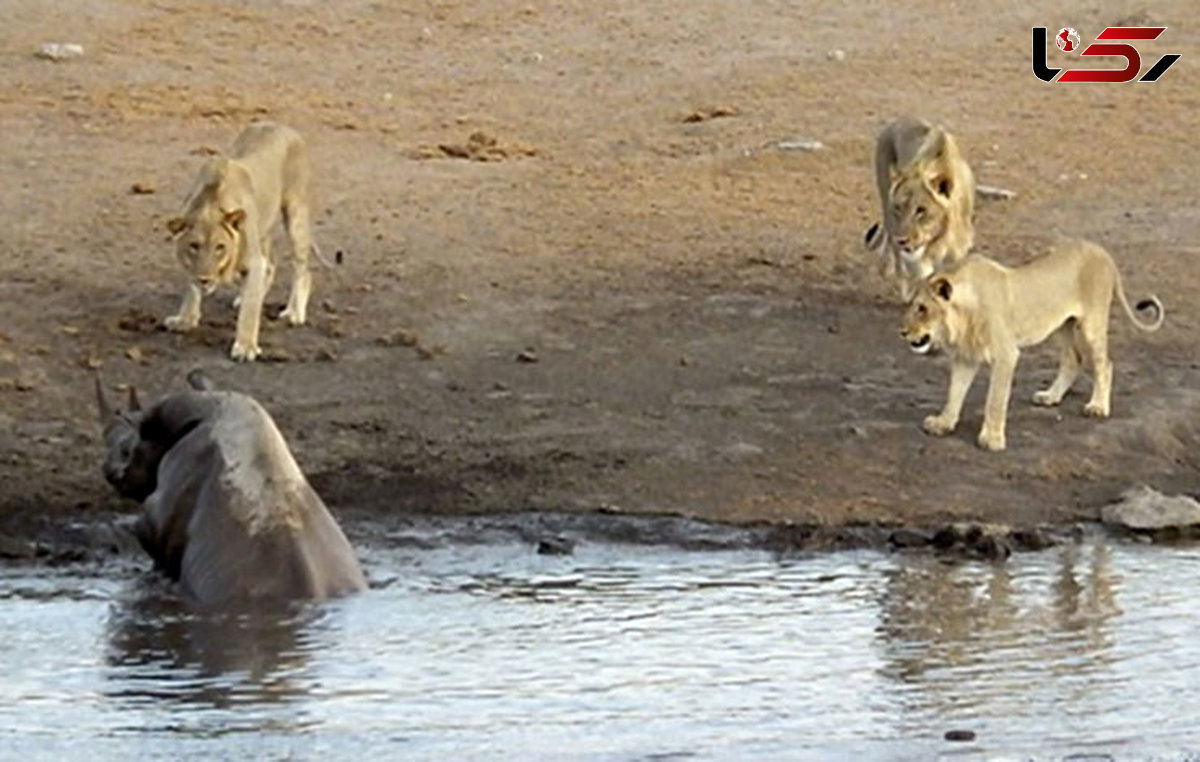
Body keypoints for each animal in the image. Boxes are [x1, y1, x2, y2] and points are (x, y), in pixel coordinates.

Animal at [166, 121, 324, 364]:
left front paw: (246, 347)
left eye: (220, 248)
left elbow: (250, 312)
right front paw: (185, 319)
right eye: (194, 246)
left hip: (296, 213)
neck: (211, 204)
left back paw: (294, 313)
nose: (205, 279)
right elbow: (190, 289)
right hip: (263, 227)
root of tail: (283, 126)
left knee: (302, 270)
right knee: (271, 265)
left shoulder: (253, 260)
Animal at [868, 116, 979, 301]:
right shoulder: (916, 258)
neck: (940, 236)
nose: (902, 240)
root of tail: (899, 119)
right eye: (898, 208)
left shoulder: (957, 253)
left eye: (921, 210)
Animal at [902, 241, 1161, 451]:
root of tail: (1103, 252)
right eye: (912, 306)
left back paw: (1098, 406)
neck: (962, 316)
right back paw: (1050, 397)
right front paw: (943, 423)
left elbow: (995, 399)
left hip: (1091, 323)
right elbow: (954, 392)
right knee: (1073, 360)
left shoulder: (1006, 354)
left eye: (922, 308)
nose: (902, 332)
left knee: (1104, 364)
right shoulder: (966, 357)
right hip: (1062, 326)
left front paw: (992, 439)